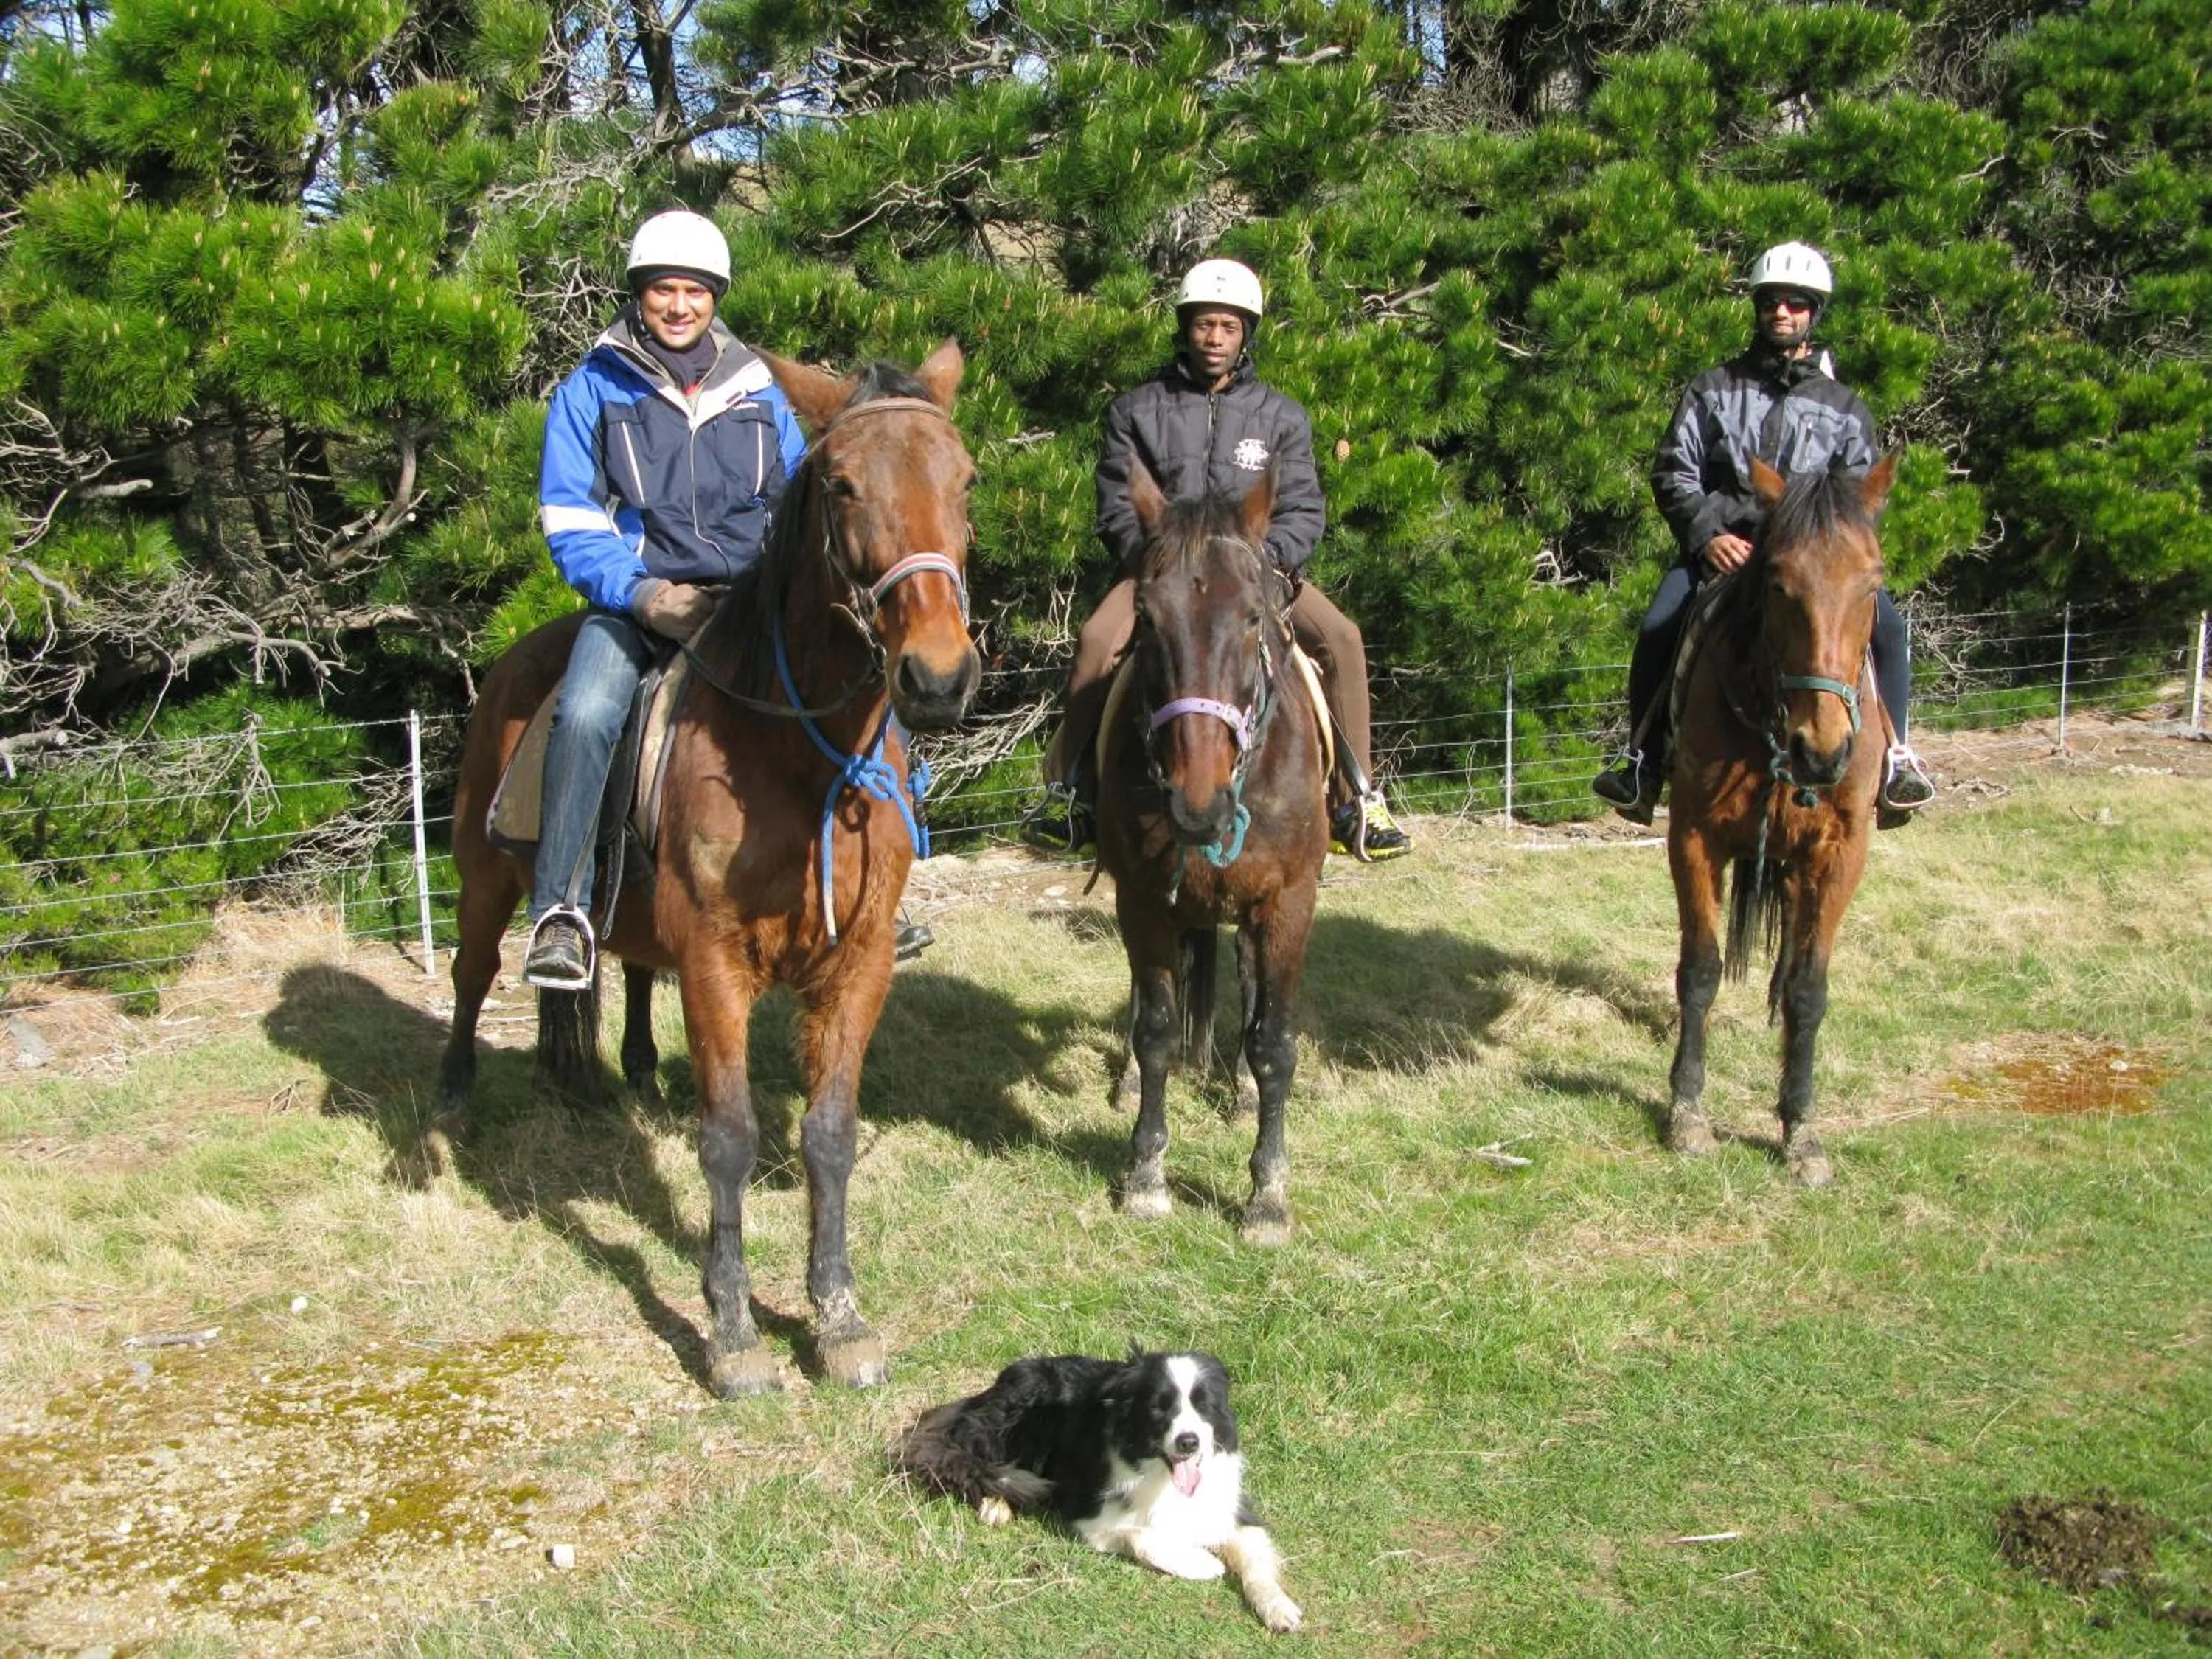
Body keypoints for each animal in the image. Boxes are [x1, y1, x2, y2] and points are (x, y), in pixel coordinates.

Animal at [439, 341, 980, 1395]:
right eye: (843, 485)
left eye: (965, 479)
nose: (938, 676)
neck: (799, 757)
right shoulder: (717, 964)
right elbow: (729, 1141)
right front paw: (732, 1331)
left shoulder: (859, 964)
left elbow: (829, 1135)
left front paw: (838, 1317)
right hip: (485, 886)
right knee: (472, 974)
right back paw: (450, 1103)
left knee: (627, 977)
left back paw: (637, 1080)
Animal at [1092, 460, 1329, 1245]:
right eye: (1145, 618)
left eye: (1254, 615)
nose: (1199, 805)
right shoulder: (1140, 900)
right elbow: (1157, 1032)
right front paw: (1146, 1175)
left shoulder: (1287, 903)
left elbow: (1274, 1041)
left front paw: (1268, 1195)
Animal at [1663, 452, 1897, 1187]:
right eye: (1777, 582)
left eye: (1873, 583)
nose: (1821, 750)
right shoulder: (1693, 838)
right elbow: (1700, 972)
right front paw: (1687, 1111)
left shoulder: (1841, 853)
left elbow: (1808, 990)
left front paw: (1800, 1129)